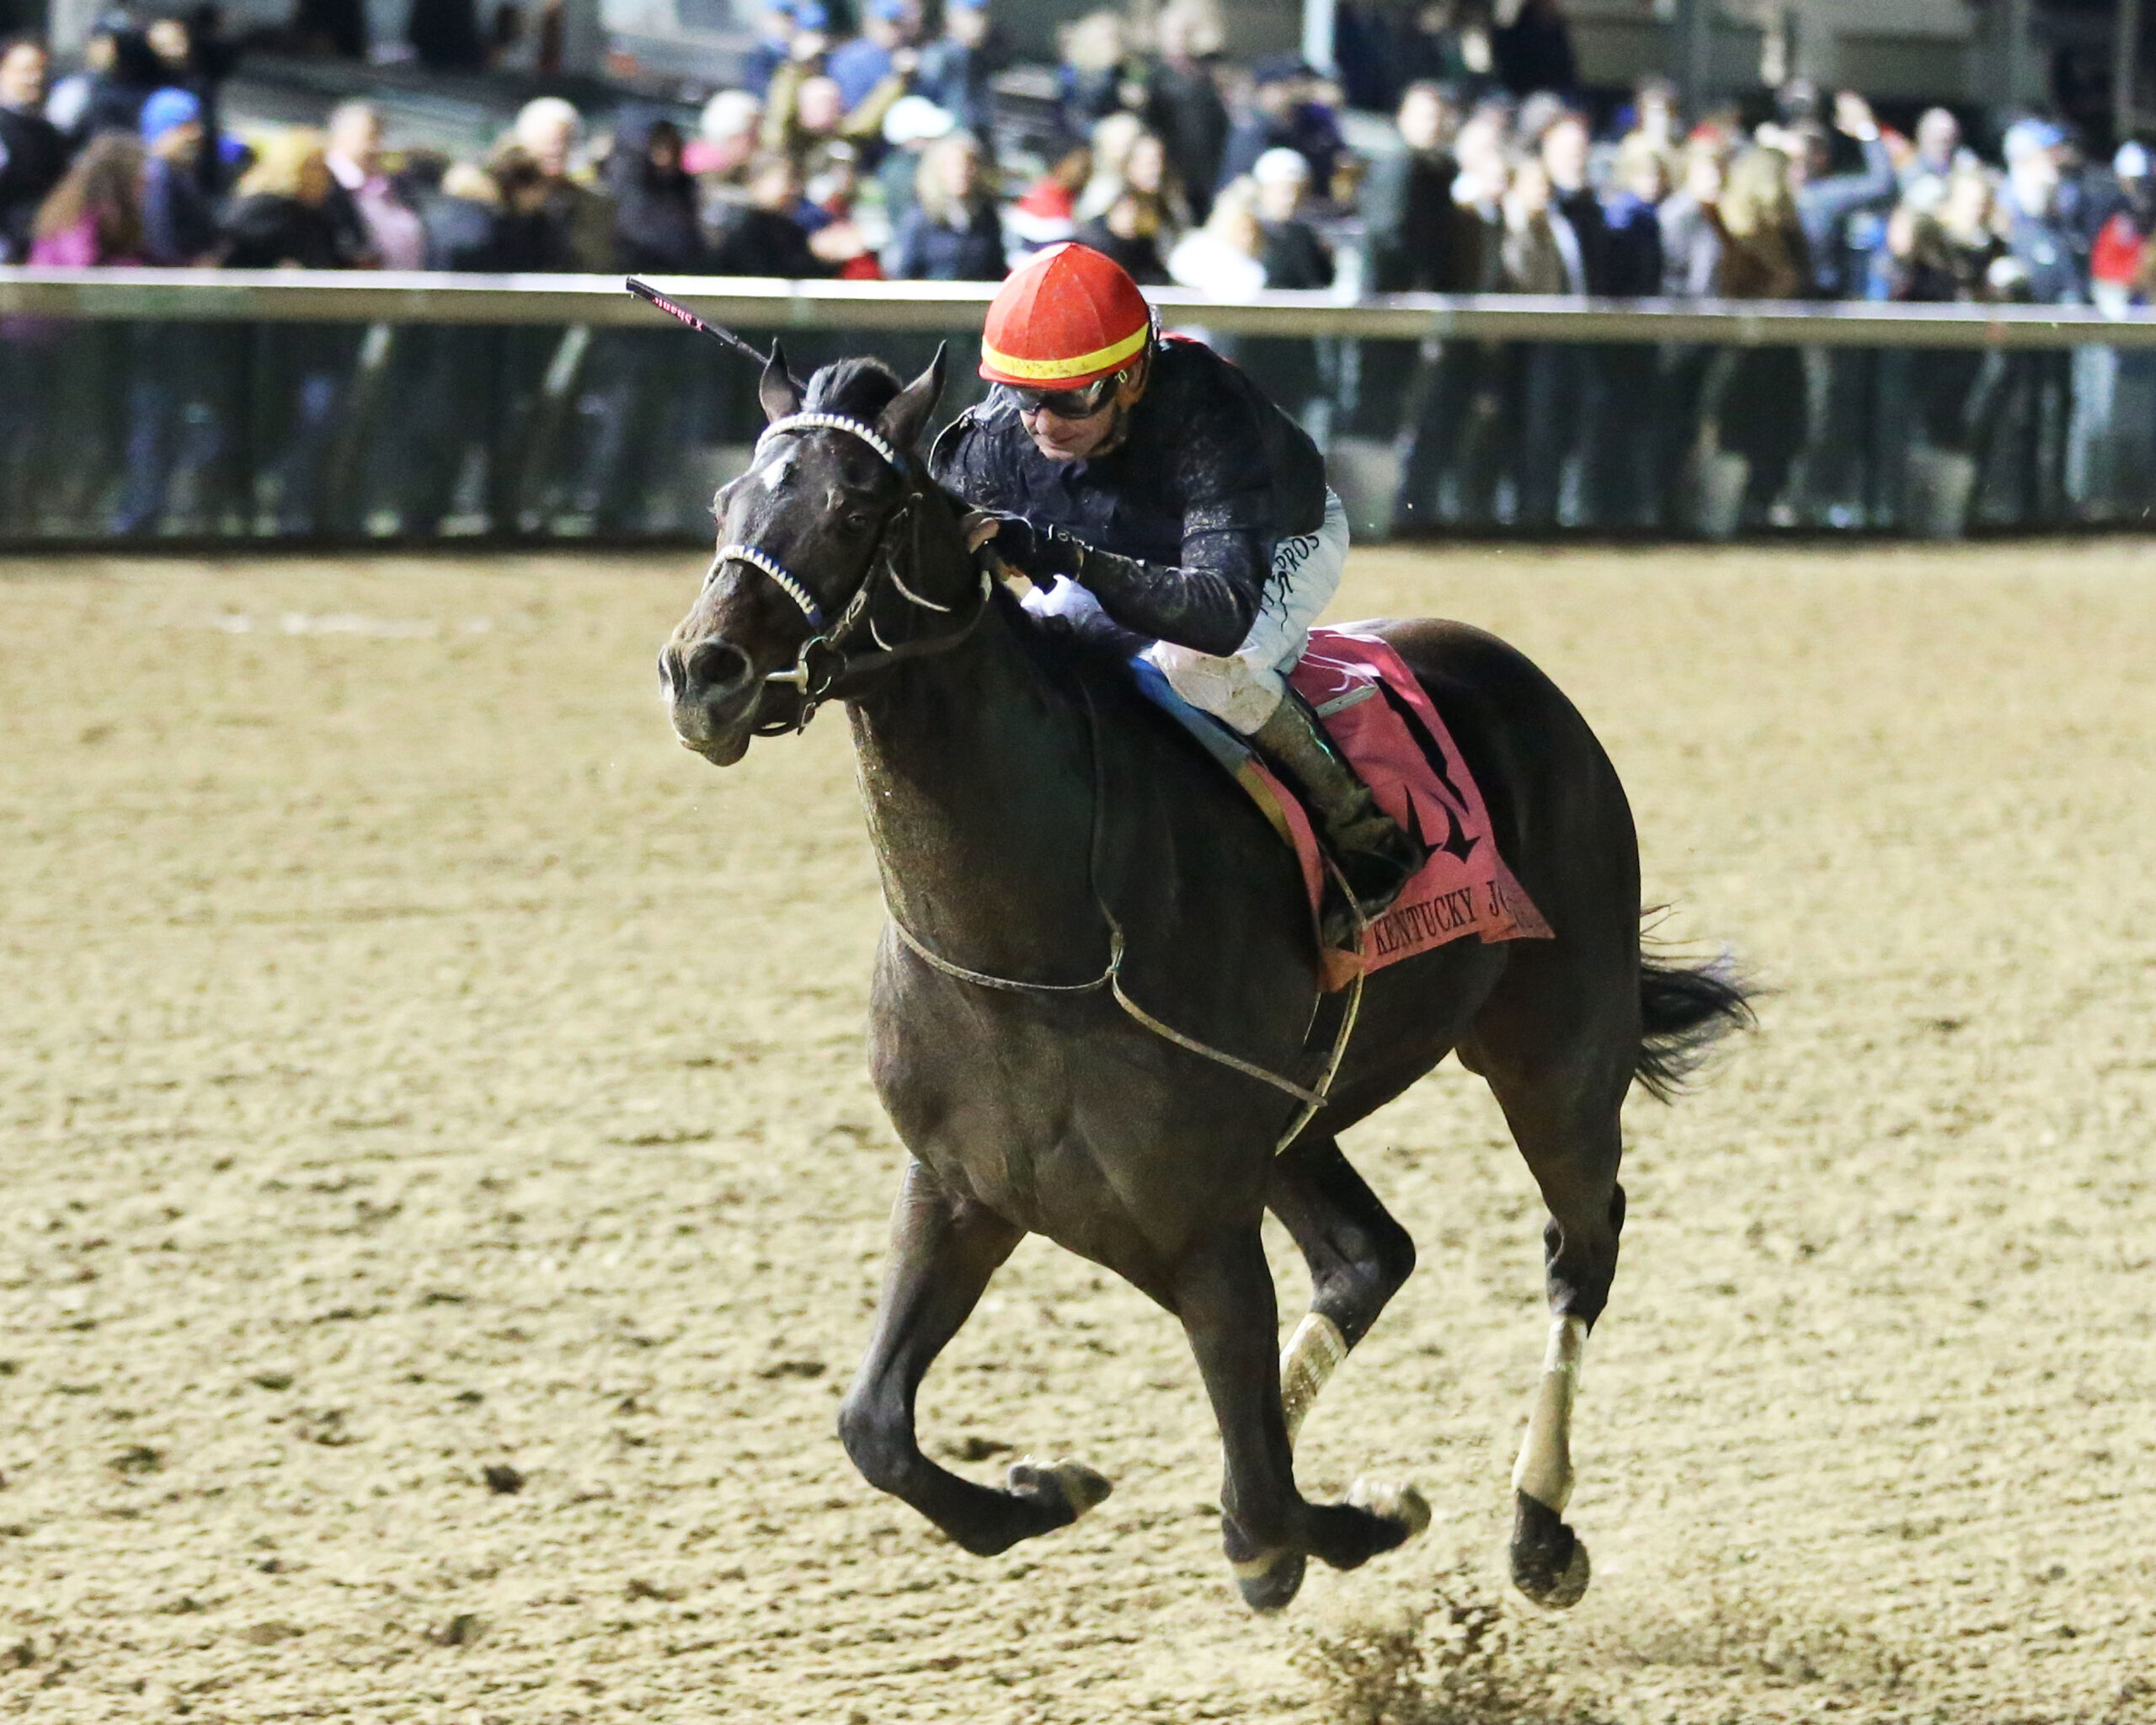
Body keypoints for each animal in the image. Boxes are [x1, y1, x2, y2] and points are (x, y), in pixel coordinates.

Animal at [655, 347, 1750, 1621]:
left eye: (854, 511)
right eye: (727, 503)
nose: (701, 673)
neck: (1029, 960)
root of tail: (1519, 676)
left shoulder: (1202, 1230)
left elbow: (1265, 1509)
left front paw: (1356, 1517)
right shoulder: (961, 1186)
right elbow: (874, 1426)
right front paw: (1047, 1488)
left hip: (1555, 1050)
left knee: (1580, 1249)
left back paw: (1538, 1530)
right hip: (1296, 1118)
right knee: (1371, 1255)